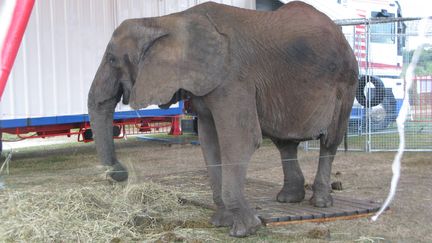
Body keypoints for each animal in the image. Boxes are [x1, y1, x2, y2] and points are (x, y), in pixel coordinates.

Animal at [87, 0, 358, 237]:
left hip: (346, 84)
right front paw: (220, 222)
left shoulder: (233, 79)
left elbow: (240, 140)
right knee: (285, 142)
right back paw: (288, 198)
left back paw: (320, 202)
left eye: (112, 59)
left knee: (329, 141)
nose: (122, 171)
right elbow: (210, 142)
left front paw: (245, 230)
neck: (166, 22)